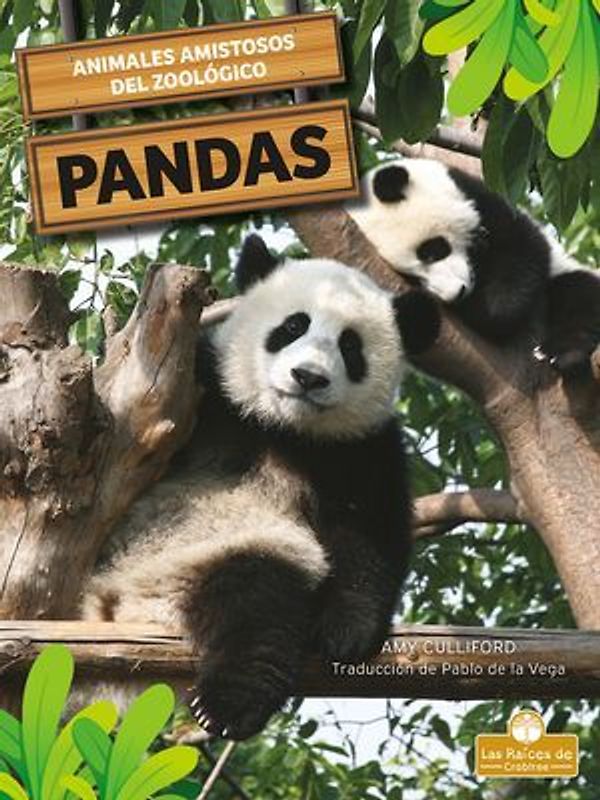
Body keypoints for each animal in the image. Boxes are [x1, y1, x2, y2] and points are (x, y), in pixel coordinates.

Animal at [83, 235, 440, 741]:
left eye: (350, 347)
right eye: (292, 326)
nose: (308, 377)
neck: (279, 427)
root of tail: (119, 607)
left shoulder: (361, 449)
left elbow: (369, 532)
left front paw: (346, 631)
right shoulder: (205, 387)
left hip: (217, 555)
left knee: (257, 603)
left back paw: (231, 703)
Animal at [348, 158, 600, 376]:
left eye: (431, 251)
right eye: (412, 278)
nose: (457, 293)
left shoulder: (484, 203)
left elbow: (521, 252)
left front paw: (486, 311)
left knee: (580, 296)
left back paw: (561, 353)